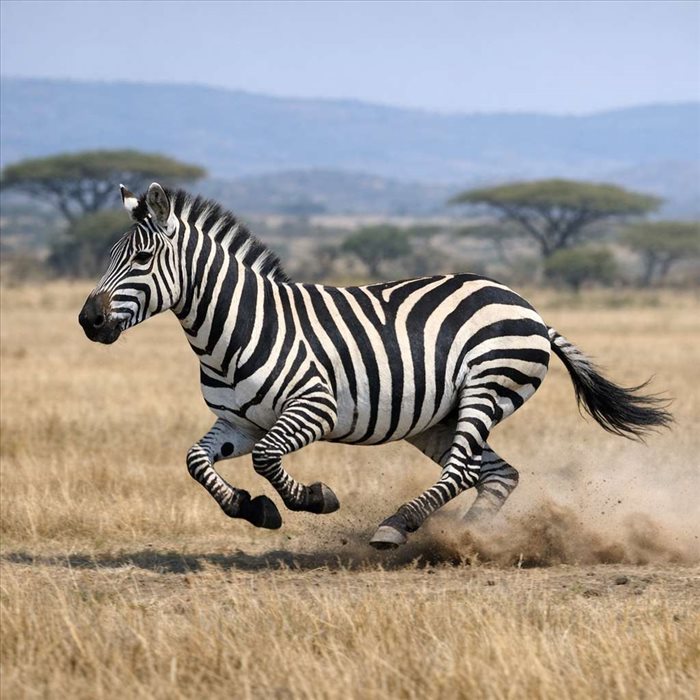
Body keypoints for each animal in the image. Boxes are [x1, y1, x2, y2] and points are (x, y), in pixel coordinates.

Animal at [78, 183, 671, 549]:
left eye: (142, 259)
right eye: (109, 256)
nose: (88, 319)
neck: (234, 329)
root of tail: (529, 308)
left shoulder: (312, 407)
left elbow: (268, 459)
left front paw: (313, 499)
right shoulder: (238, 422)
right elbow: (196, 462)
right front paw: (252, 509)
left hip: (485, 387)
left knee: (463, 471)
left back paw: (398, 525)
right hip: (435, 419)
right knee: (497, 474)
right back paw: (467, 540)